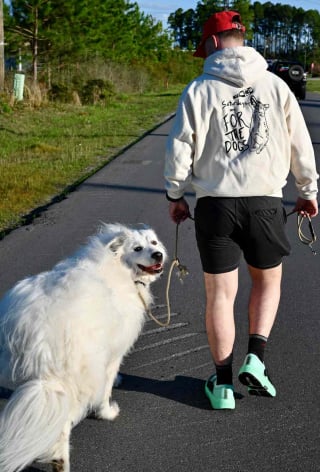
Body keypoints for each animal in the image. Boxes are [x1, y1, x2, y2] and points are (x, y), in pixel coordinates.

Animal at [0, 222, 168, 472]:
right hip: (71, 381)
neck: (118, 264)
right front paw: (107, 412)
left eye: (154, 243)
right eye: (137, 248)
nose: (158, 255)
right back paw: (60, 461)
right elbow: (106, 388)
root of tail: (38, 331)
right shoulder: (113, 352)